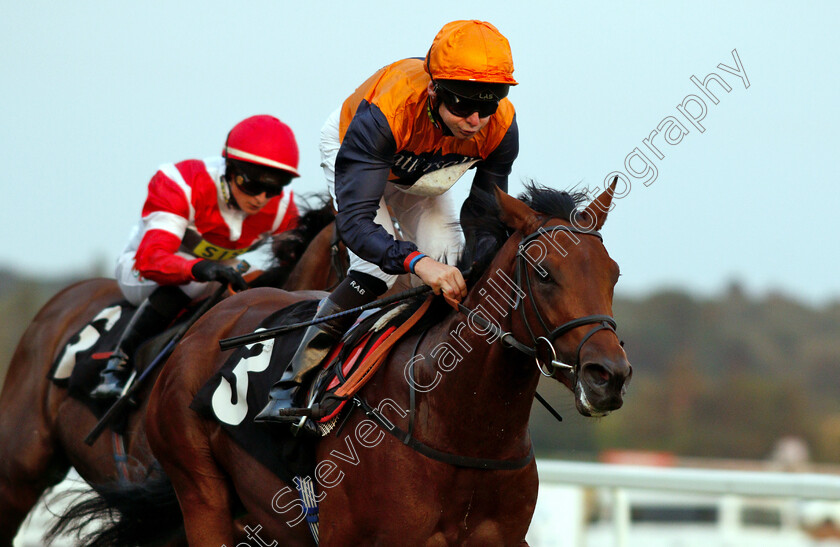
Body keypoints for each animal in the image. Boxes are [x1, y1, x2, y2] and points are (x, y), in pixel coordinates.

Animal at [55, 184, 632, 547]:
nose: (609, 376)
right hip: (200, 493)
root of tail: (206, 324)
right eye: (543, 272)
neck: (460, 426)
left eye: (613, 272)